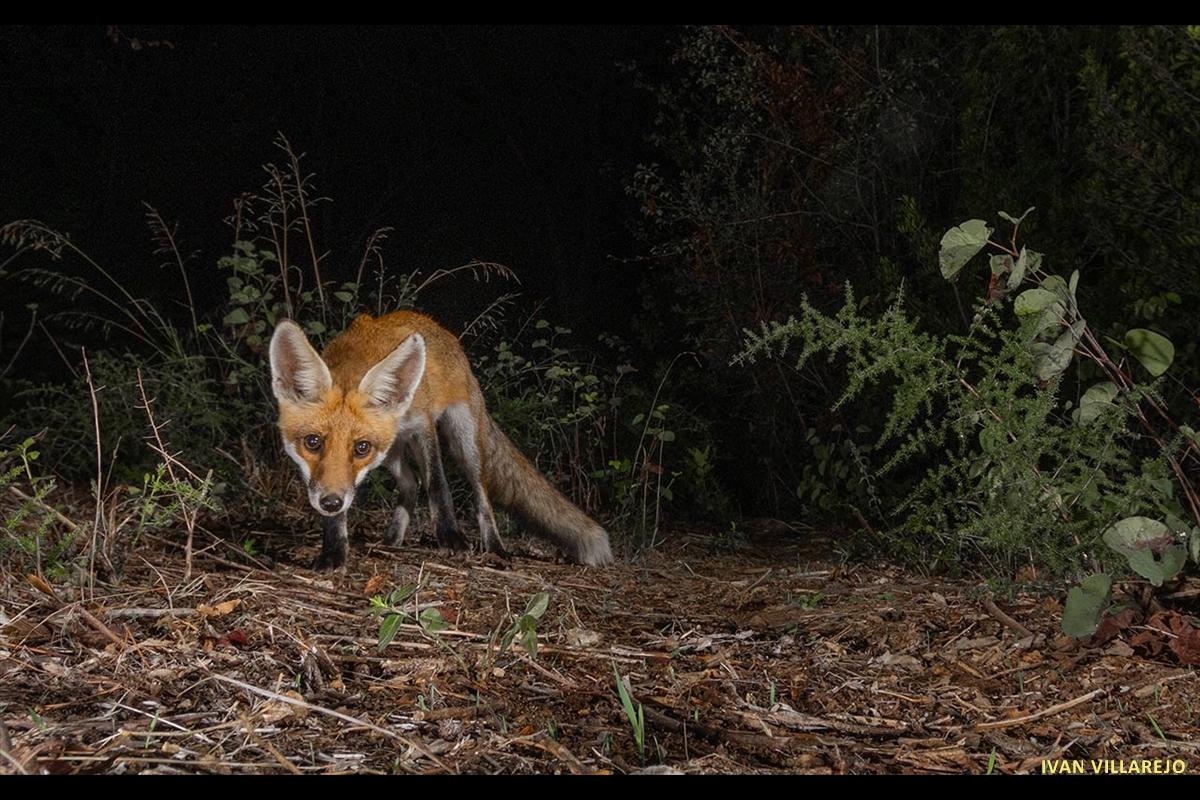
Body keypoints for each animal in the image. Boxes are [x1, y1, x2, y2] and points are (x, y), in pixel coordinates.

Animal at [268, 311, 613, 571]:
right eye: (313, 442)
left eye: (361, 447)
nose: (330, 502)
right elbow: (342, 504)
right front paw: (334, 552)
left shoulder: (423, 427)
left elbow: (437, 483)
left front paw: (451, 537)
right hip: (392, 452)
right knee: (410, 484)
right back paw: (392, 539)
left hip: (464, 440)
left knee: (481, 497)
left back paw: (495, 548)